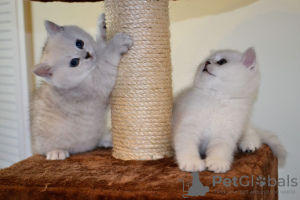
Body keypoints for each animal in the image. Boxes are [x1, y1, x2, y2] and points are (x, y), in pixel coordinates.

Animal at [30, 14, 132, 160]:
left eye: (79, 43)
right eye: (74, 62)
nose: (87, 55)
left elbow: (100, 46)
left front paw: (102, 26)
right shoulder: (97, 83)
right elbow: (107, 58)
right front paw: (117, 43)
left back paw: (108, 139)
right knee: (46, 149)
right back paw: (56, 152)